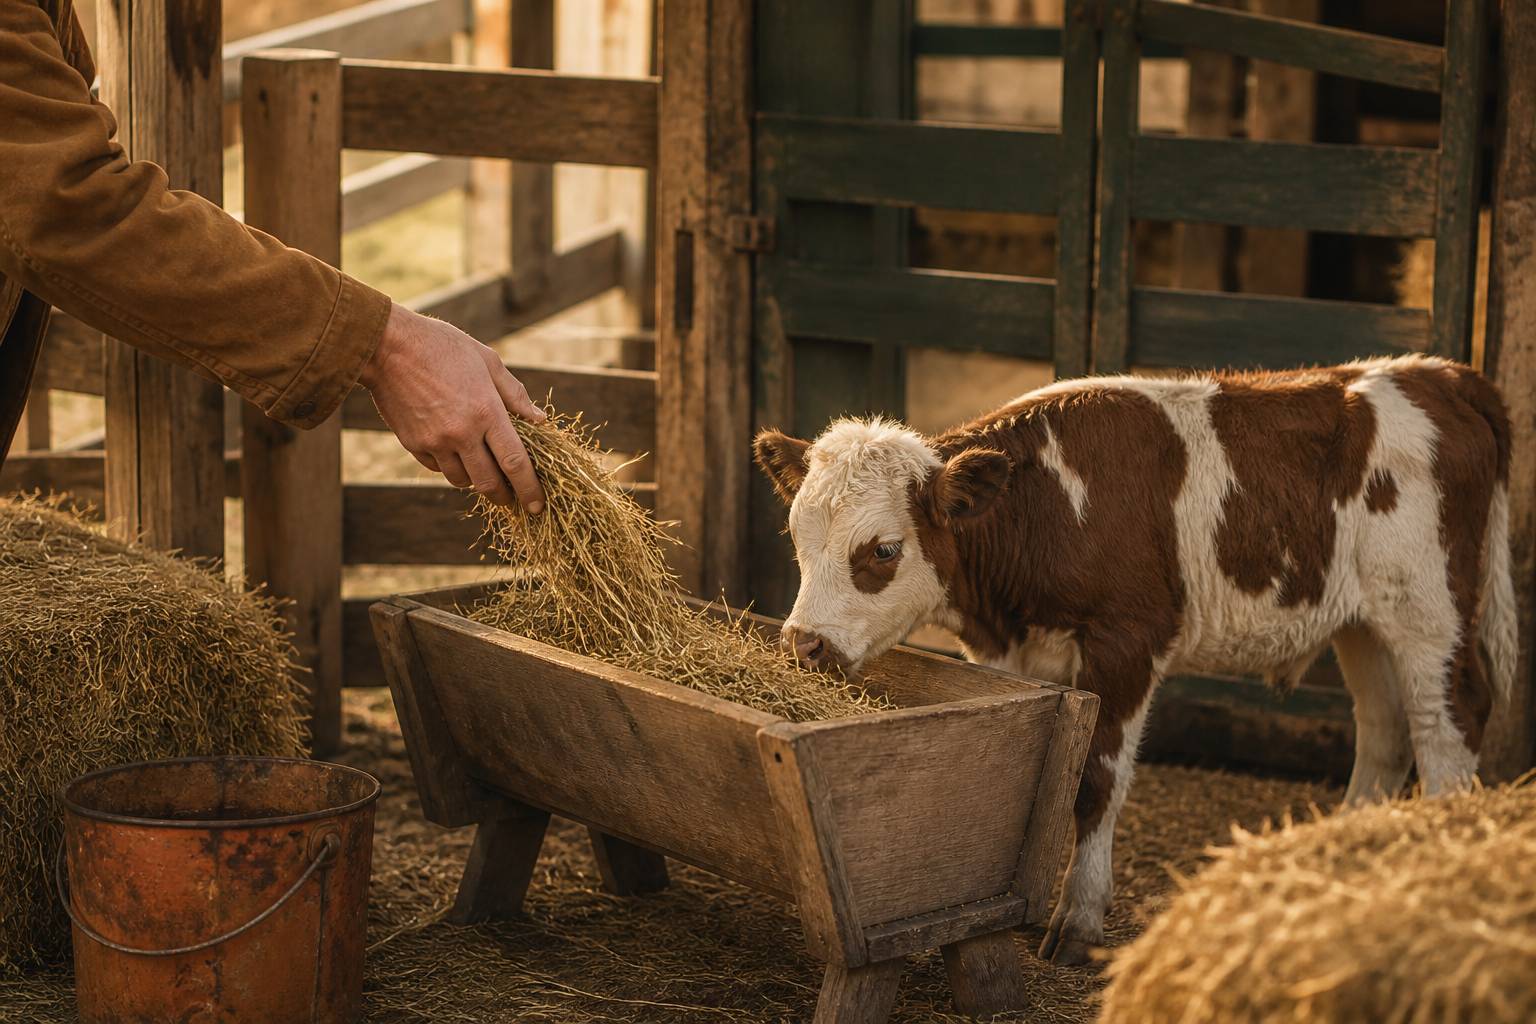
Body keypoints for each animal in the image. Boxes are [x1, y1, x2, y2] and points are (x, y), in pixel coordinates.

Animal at [753, 355, 1515, 966]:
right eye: (794, 536)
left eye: (883, 550)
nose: (804, 643)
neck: (1052, 507)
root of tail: (1442, 373)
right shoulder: (1022, 656)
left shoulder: (1127, 639)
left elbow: (1095, 780)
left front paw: (1079, 919)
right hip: (1363, 622)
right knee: (1385, 731)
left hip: (1427, 607)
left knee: (1447, 723)